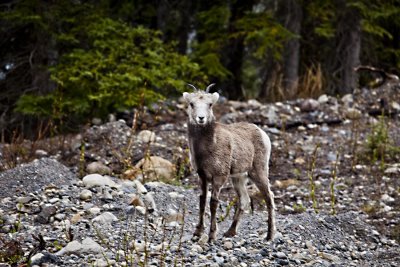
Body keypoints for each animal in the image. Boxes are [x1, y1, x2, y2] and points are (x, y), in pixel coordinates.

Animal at [184, 84, 276, 243]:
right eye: (191, 104)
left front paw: (212, 235)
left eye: (210, 104)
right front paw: (197, 233)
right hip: (238, 178)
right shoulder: (202, 176)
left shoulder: (219, 176)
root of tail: (262, 134)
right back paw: (230, 232)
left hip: (259, 172)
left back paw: (269, 236)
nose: (201, 118)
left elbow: (213, 203)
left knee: (269, 198)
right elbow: (202, 201)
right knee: (244, 200)